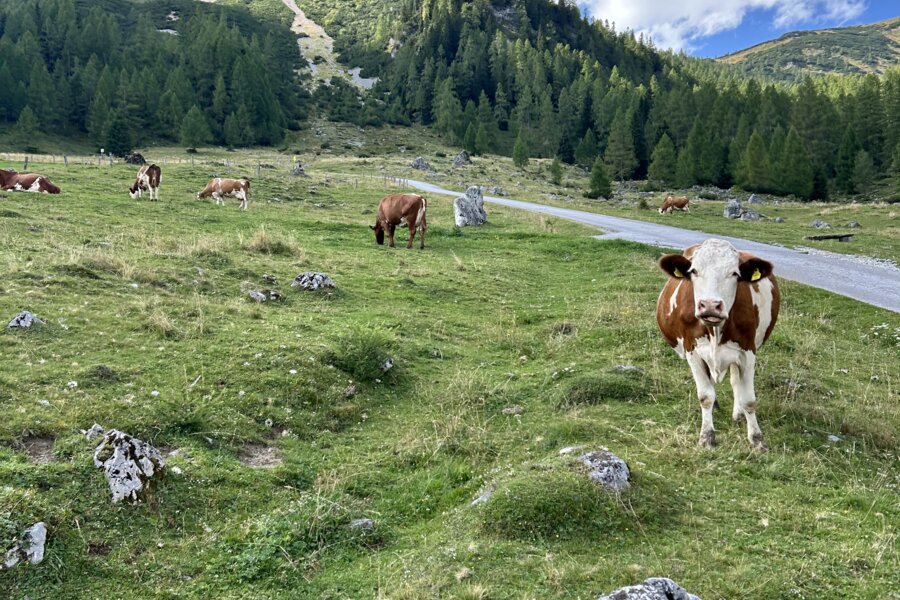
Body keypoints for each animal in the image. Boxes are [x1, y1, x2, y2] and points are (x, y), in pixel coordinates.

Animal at [656, 239, 780, 451]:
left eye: (735, 273)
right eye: (694, 271)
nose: (710, 305)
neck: (715, 330)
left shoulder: (747, 352)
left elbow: (749, 400)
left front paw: (757, 439)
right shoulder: (693, 351)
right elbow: (705, 396)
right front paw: (707, 436)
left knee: (736, 381)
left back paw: (738, 415)